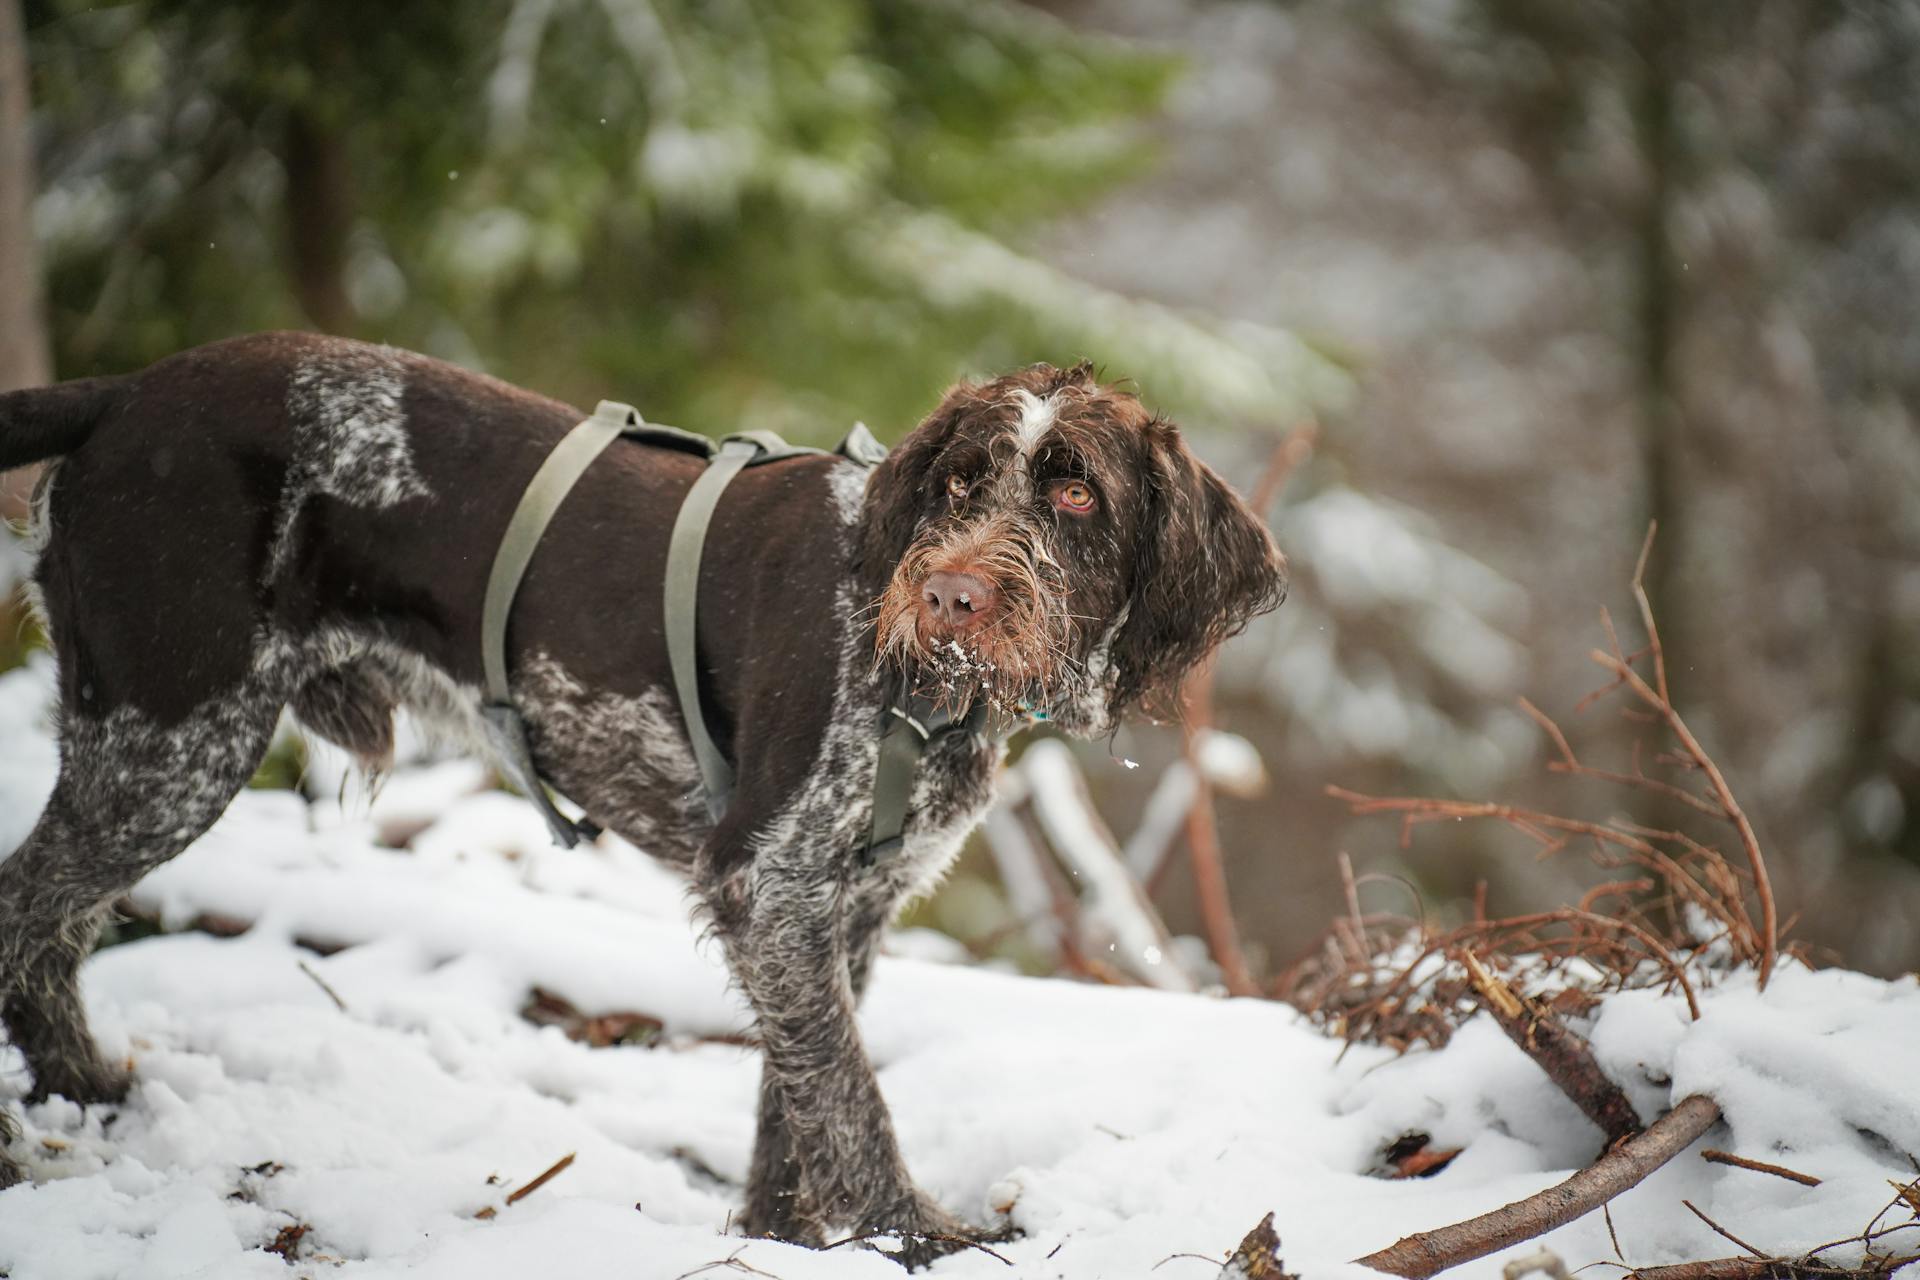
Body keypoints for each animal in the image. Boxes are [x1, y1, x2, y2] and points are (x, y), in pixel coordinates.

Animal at [3, 330, 1290, 1258]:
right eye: (961, 481)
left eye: (1076, 499)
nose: (952, 594)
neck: (920, 683)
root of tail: (124, 395)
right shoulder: (770, 878)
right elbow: (851, 1097)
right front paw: (919, 1237)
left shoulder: (836, 906)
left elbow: (797, 1094)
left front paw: (782, 1242)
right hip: (170, 736)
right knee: (29, 912)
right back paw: (48, 1122)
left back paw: (86, 1092)